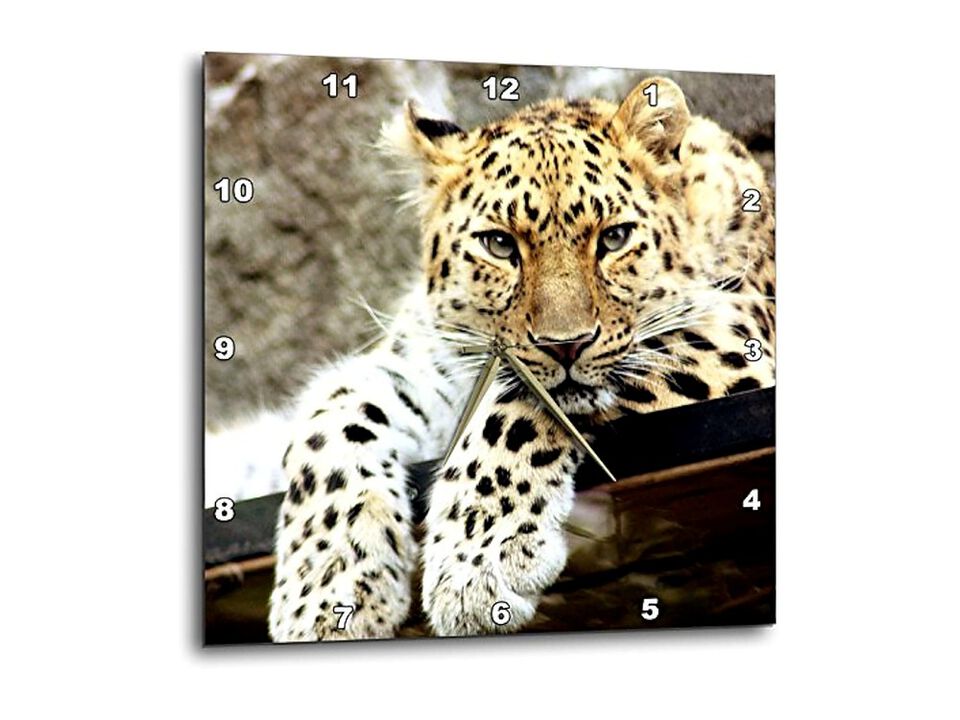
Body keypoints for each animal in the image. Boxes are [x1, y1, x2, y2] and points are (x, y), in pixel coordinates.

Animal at [267, 76, 775, 641]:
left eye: (614, 238)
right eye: (499, 245)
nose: (565, 344)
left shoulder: (732, 339)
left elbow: (514, 412)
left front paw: (476, 566)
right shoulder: (422, 364)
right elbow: (332, 418)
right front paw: (323, 591)